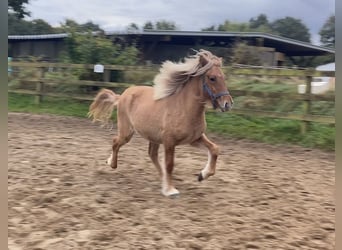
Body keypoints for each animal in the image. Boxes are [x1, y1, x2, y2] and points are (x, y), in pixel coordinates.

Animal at [87, 49, 234, 197]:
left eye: (223, 77)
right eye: (212, 78)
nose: (228, 104)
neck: (184, 108)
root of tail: (122, 95)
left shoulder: (194, 139)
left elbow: (215, 149)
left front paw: (202, 175)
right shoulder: (169, 142)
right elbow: (169, 164)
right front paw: (170, 190)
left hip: (153, 137)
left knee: (151, 154)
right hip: (127, 132)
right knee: (116, 142)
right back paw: (112, 164)